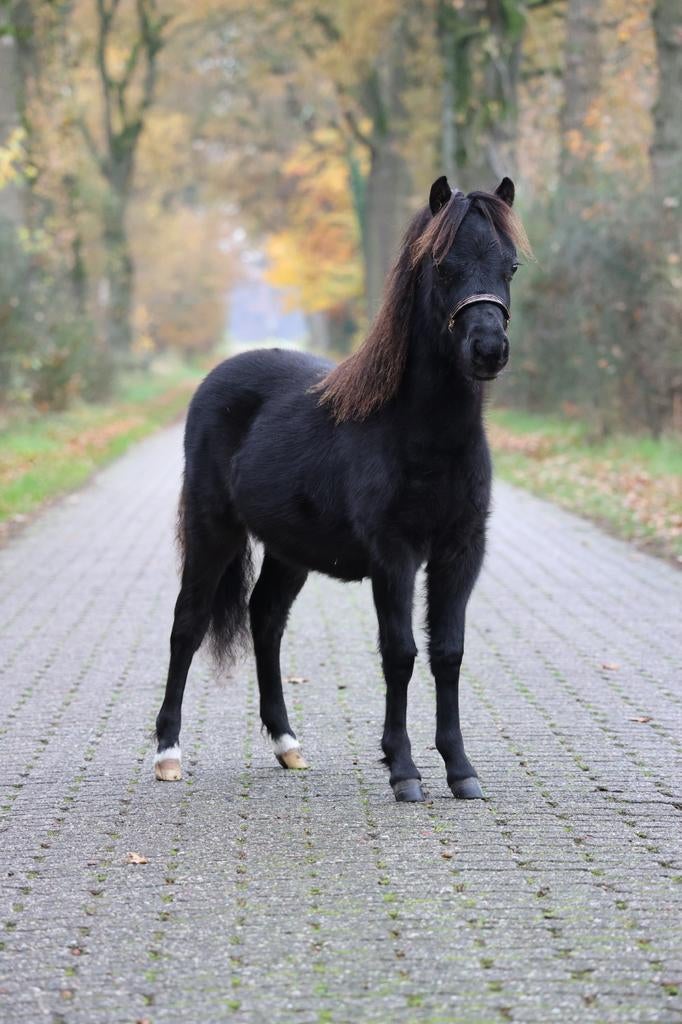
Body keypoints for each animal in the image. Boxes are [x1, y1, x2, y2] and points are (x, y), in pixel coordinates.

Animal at [154, 174, 530, 802]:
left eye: (511, 265)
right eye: (442, 264)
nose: (488, 349)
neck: (420, 432)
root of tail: (217, 380)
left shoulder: (460, 552)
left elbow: (447, 653)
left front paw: (460, 769)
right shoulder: (393, 556)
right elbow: (400, 654)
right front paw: (404, 770)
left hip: (289, 552)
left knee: (266, 621)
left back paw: (288, 745)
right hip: (213, 531)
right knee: (188, 625)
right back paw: (167, 753)